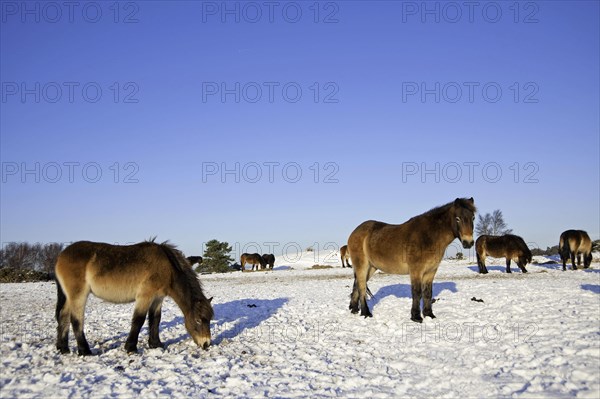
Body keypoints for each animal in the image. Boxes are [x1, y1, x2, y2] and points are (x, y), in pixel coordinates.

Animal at [54, 241, 213, 356]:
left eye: (209, 320)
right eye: (198, 320)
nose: (206, 344)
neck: (167, 267)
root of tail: (60, 256)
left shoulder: (157, 298)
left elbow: (155, 319)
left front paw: (156, 344)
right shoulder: (145, 296)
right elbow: (139, 320)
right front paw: (130, 347)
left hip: (69, 297)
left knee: (63, 316)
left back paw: (63, 348)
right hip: (78, 295)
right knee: (76, 320)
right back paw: (85, 351)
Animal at [346, 198, 474, 324]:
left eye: (473, 217)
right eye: (457, 218)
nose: (468, 242)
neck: (428, 236)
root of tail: (355, 232)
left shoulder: (430, 272)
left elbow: (427, 293)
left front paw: (429, 315)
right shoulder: (416, 271)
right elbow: (417, 292)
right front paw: (416, 317)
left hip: (371, 267)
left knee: (357, 286)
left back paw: (354, 309)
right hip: (362, 266)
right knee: (362, 287)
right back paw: (366, 313)